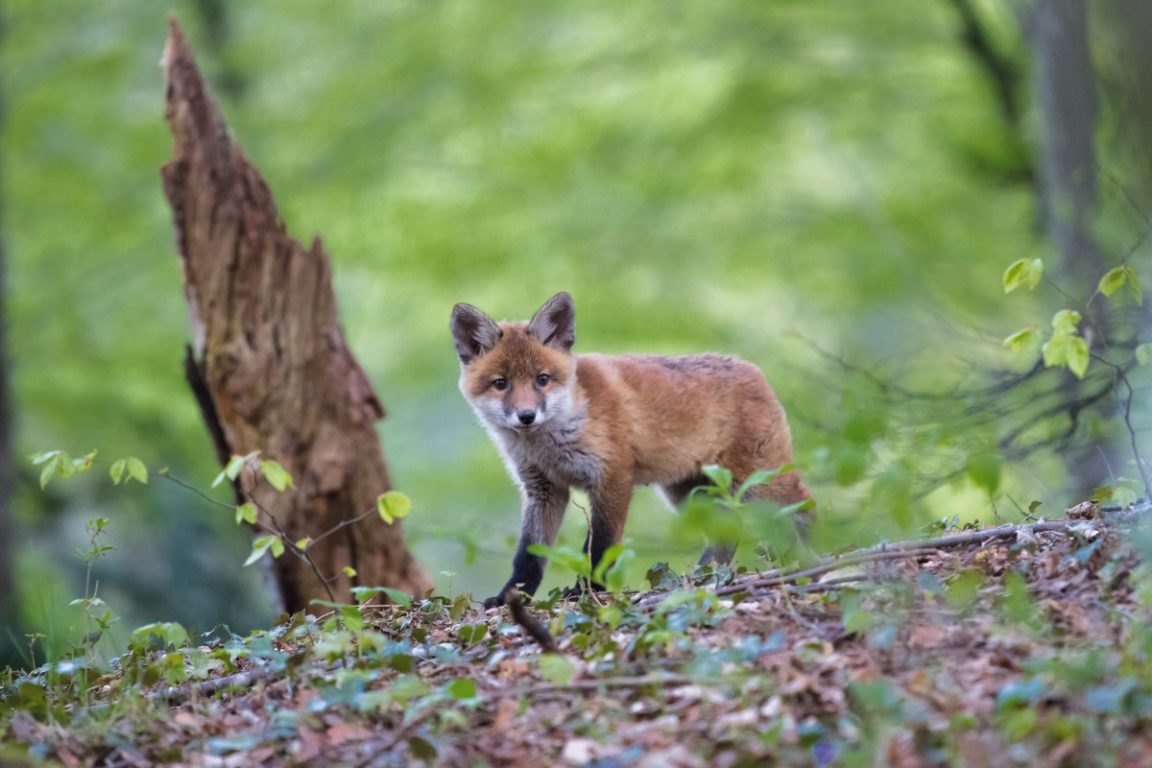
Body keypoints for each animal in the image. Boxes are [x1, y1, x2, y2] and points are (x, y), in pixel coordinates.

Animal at [451, 292, 812, 608]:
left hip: (759, 483)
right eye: (501, 384)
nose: (526, 416)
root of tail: (751, 368)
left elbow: (601, 547)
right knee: (727, 533)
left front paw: (589, 592)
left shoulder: (612, 477)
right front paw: (511, 597)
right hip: (689, 495)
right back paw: (701, 578)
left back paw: (807, 560)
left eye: (542, 379)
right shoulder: (543, 489)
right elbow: (528, 557)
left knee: (804, 507)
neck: (550, 444)